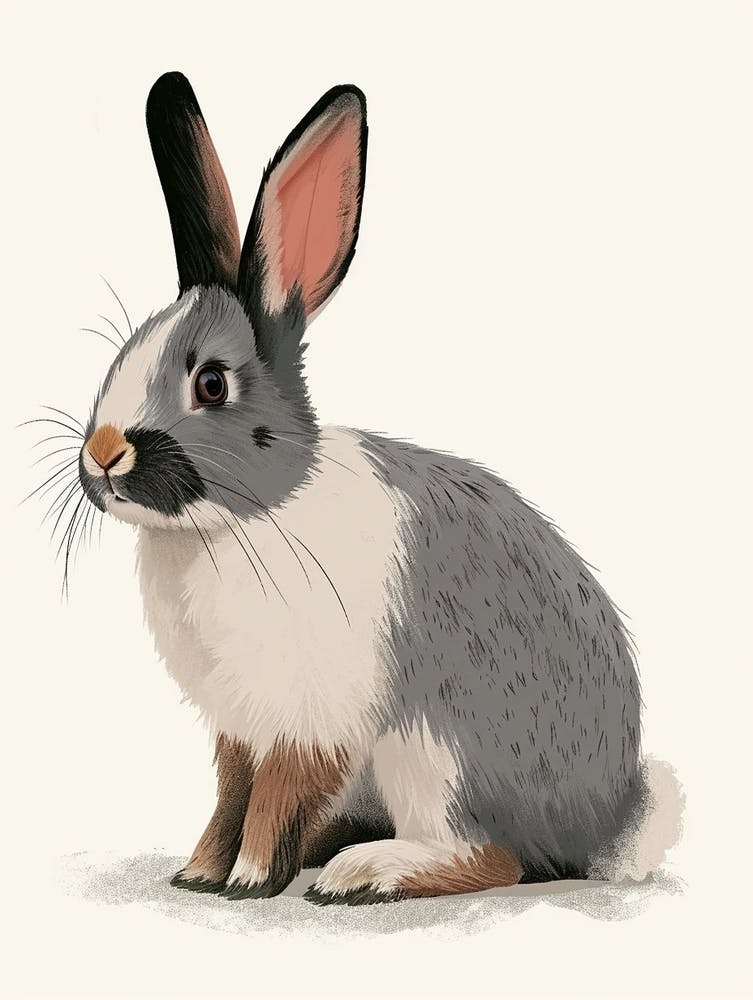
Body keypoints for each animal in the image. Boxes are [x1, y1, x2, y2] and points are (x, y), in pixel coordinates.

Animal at [69, 71, 644, 904]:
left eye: (210, 383)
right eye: (119, 358)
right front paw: (199, 871)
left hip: (436, 756)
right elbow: (231, 794)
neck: (236, 522)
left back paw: (363, 872)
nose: (104, 453)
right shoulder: (239, 727)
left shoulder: (311, 719)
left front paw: (249, 878)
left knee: (492, 858)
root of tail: (605, 825)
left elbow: (273, 796)